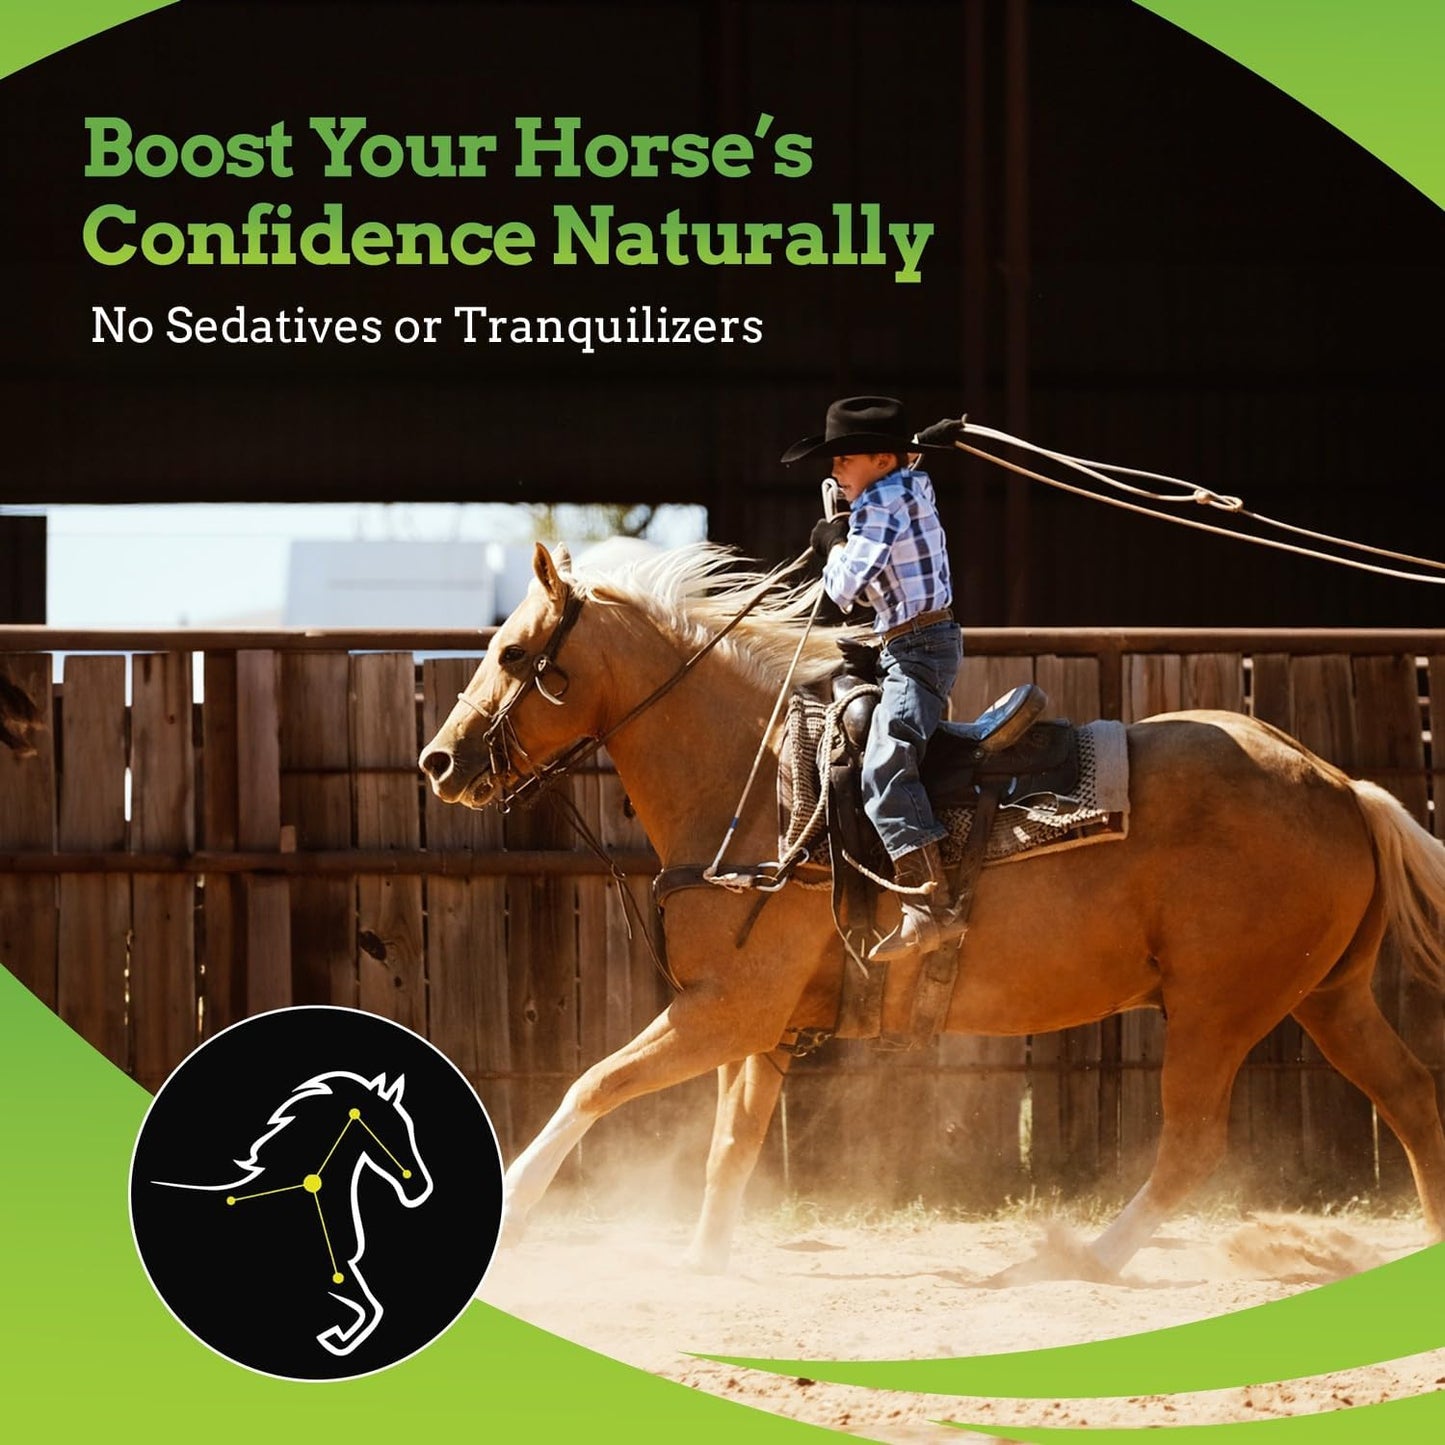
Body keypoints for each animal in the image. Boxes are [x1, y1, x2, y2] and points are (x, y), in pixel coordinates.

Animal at [153, 1071, 433, 1355]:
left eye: (405, 1128)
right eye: (391, 1130)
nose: (419, 1187)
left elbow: (369, 1307)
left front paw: (336, 1338)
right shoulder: (332, 1275)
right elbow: (369, 1308)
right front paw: (336, 1337)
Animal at [418, 541, 1445, 1277]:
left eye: (513, 651)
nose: (439, 759)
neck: (764, 786)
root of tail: (1340, 786)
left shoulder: (724, 1010)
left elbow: (593, 1084)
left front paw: (518, 1208)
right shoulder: (755, 1024)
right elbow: (729, 1142)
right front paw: (702, 1261)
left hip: (1217, 1009)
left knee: (1192, 1145)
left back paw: (1074, 1259)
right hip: (1328, 998)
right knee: (1409, 1097)